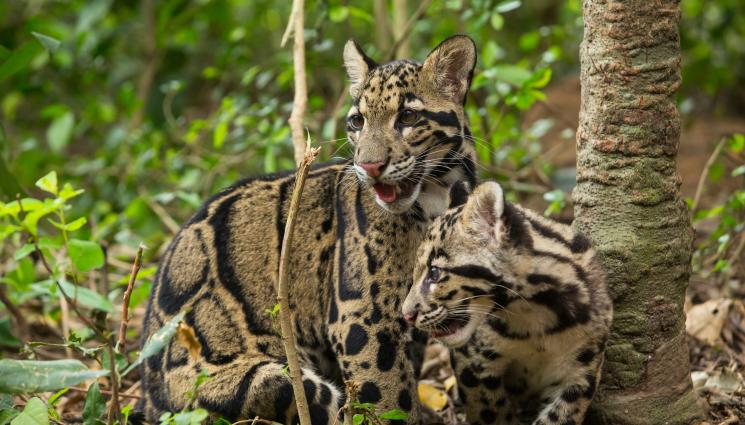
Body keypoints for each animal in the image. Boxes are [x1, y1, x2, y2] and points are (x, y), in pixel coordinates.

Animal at [137, 35, 479, 424]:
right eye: (358, 121)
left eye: (407, 116)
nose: (369, 165)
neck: (435, 194)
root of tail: (148, 397)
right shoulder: (362, 316)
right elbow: (387, 393)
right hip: (264, 380)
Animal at [402, 181, 612, 425]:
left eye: (434, 272)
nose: (406, 314)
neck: (534, 315)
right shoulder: (474, 364)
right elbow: (490, 413)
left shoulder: (581, 373)